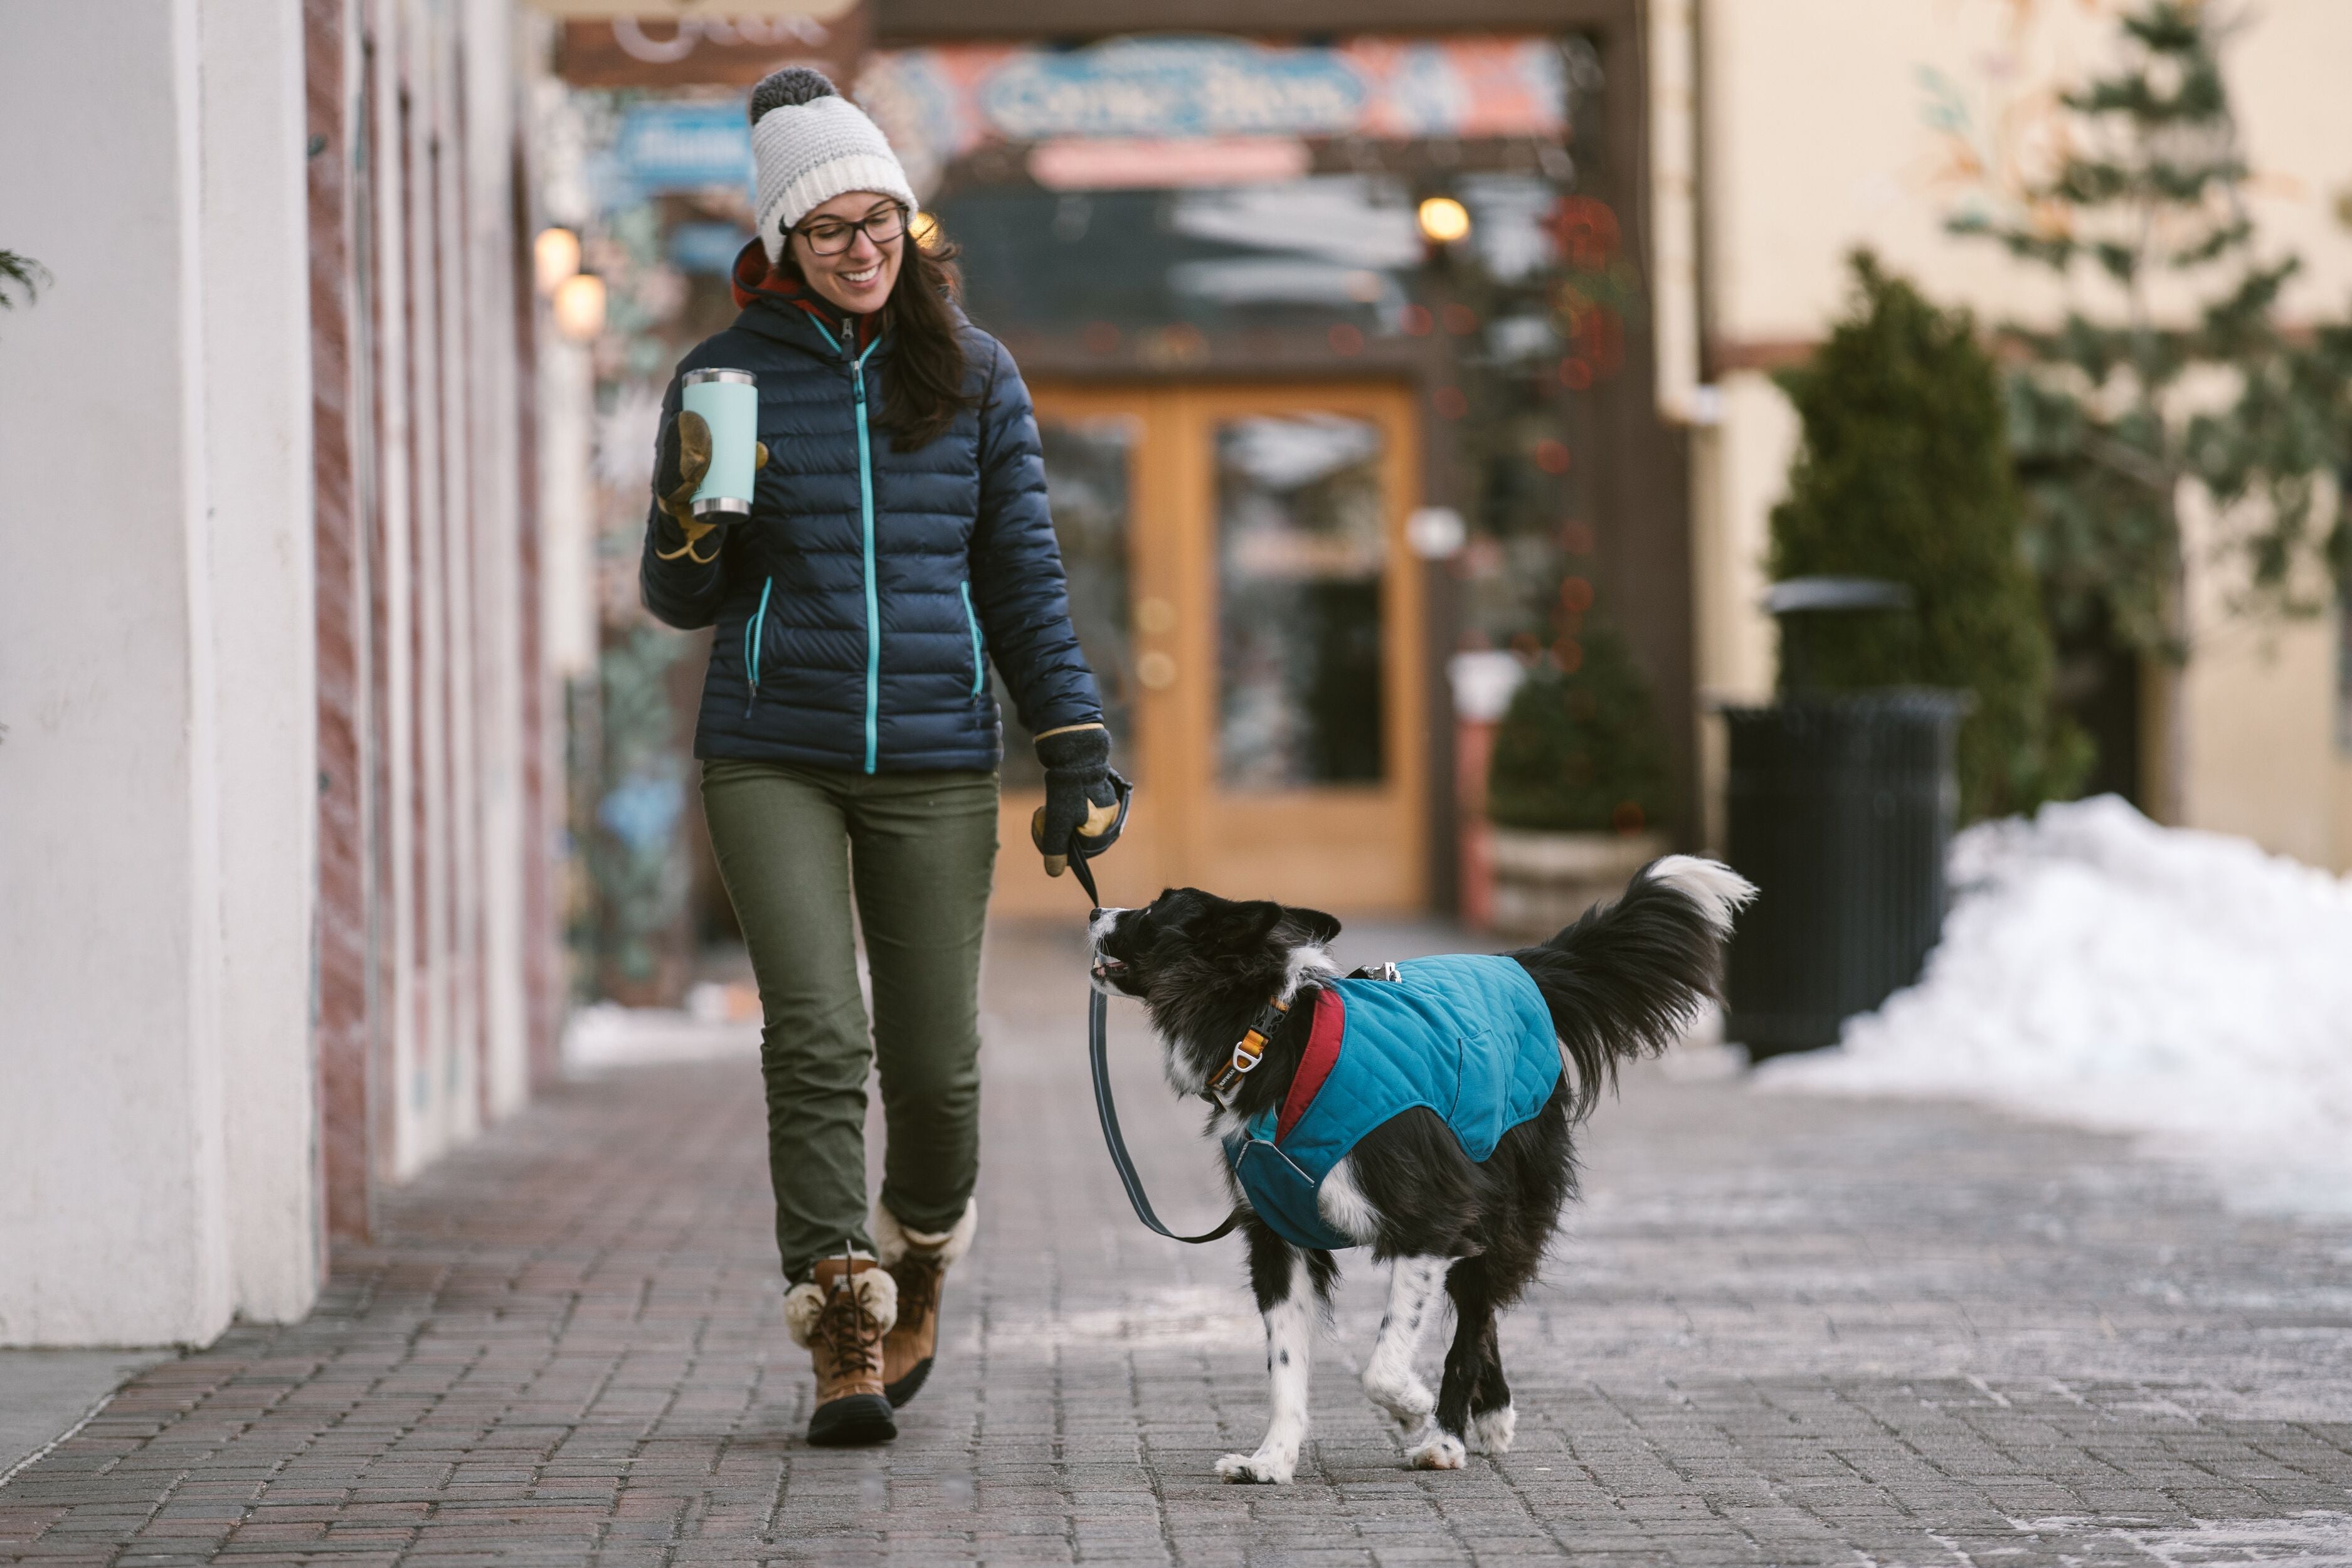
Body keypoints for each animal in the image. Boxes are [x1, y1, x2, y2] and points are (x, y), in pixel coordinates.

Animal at [1082, 860, 1750, 1485]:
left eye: (1152, 911)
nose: (1092, 912)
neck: (1271, 1038)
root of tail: (1514, 966)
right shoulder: (1279, 1239)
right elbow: (1286, 1363)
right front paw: (1271, 1459)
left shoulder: (1433, 1218)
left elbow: (1382, 1364)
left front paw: (1413, 1408)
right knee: (1483, 1310)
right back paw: (1490, 1414)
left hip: (1504, 1192)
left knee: (1476, 1314)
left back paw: (1448, 1437)